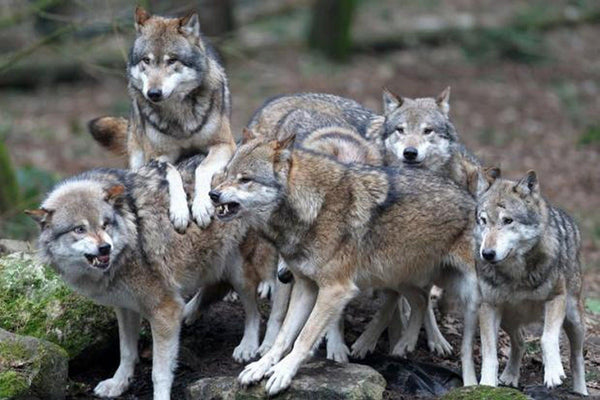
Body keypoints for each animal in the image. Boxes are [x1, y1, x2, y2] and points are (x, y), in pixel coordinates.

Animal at [89, 6, 234, 231]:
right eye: (146, 60)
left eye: (172, 60)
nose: (153, 93)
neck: (179, 116)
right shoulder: (156, 157)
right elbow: (172, 173)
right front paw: (180, 212)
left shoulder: (224, 144)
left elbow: (202, 168)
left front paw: (202, 206)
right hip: (137, 158)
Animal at [476, 168, 588, 394]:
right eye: (483, 220)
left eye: (507, 221)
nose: (487, 254)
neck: (515, 275)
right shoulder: (488, 307)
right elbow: (489, 353)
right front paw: (486, 385)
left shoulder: (556, 298)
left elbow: (547, 339)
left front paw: (553, 374)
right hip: (509, 318)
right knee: (520, 342)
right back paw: (510, 376)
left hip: (574, 319)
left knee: (577, 358)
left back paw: (581, 391)